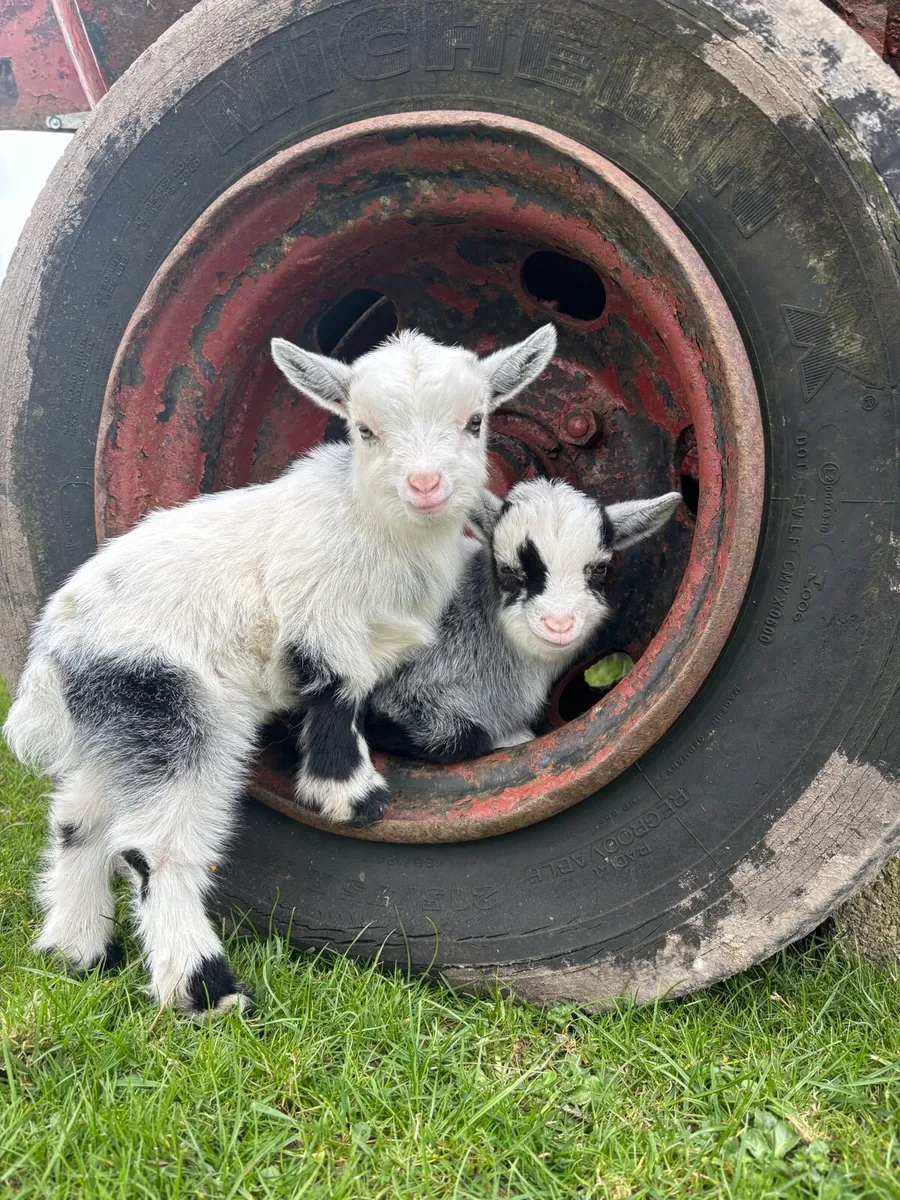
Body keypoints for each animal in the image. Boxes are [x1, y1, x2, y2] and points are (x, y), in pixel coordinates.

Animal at [3, 324, 557, 1017]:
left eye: (475, 420)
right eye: (364, 429)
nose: (426, 484)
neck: (374, 525)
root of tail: (51, 654)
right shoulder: (321, 617)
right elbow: (340, 692)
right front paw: (351, 797)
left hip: (118, 726)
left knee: (79, 819)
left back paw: (77, 952)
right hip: (173, 710)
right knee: (150, 847)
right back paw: (207, 992)